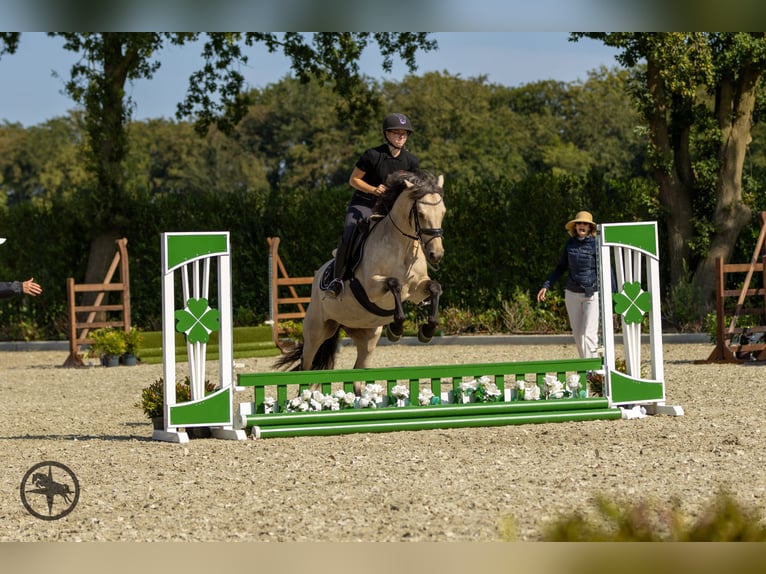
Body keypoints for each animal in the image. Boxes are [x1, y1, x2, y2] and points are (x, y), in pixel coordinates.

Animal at [276, 169, 448, 390]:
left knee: (358, 372)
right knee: (306, 365)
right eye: (420, 214)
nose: (436, 254)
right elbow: (395, 284)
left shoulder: (417, 289)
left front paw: (427, 330)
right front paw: (396, 328)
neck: (403, 246)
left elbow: (435, 288)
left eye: (443, 212)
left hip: (366, 336)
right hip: (316, 331)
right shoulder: (372, 286)